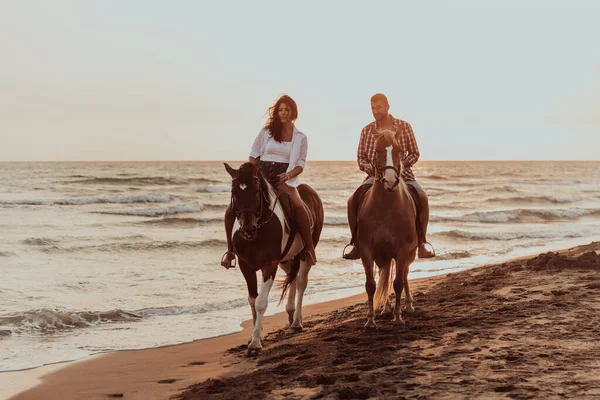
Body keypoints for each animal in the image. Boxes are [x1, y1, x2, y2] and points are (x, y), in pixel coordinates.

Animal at [223, 161, 324, 354]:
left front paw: (255, 343)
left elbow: (261, 302)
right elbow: (252, 300)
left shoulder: (269, 265)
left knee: (301, 282)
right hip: (285, 259)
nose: (248, 229)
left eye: (256, 191)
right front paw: (253, 336)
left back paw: (297, 322)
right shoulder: (245, 265)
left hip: (304, 253)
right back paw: (291, 314)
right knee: (292, 278)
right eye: (234, 192)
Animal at [356, 131, 418, 328]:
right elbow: (371, 285)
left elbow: (398, 282)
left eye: (398, 150)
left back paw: (408, 305)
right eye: (376, 150)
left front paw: (398, 317)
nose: (390, 181)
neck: (385, 207)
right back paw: (385, 308)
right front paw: (370, 320)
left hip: (409, 253)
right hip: (382, 255)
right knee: (384, 273)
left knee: (404, 274)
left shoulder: (402, 250)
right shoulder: (366, 250)